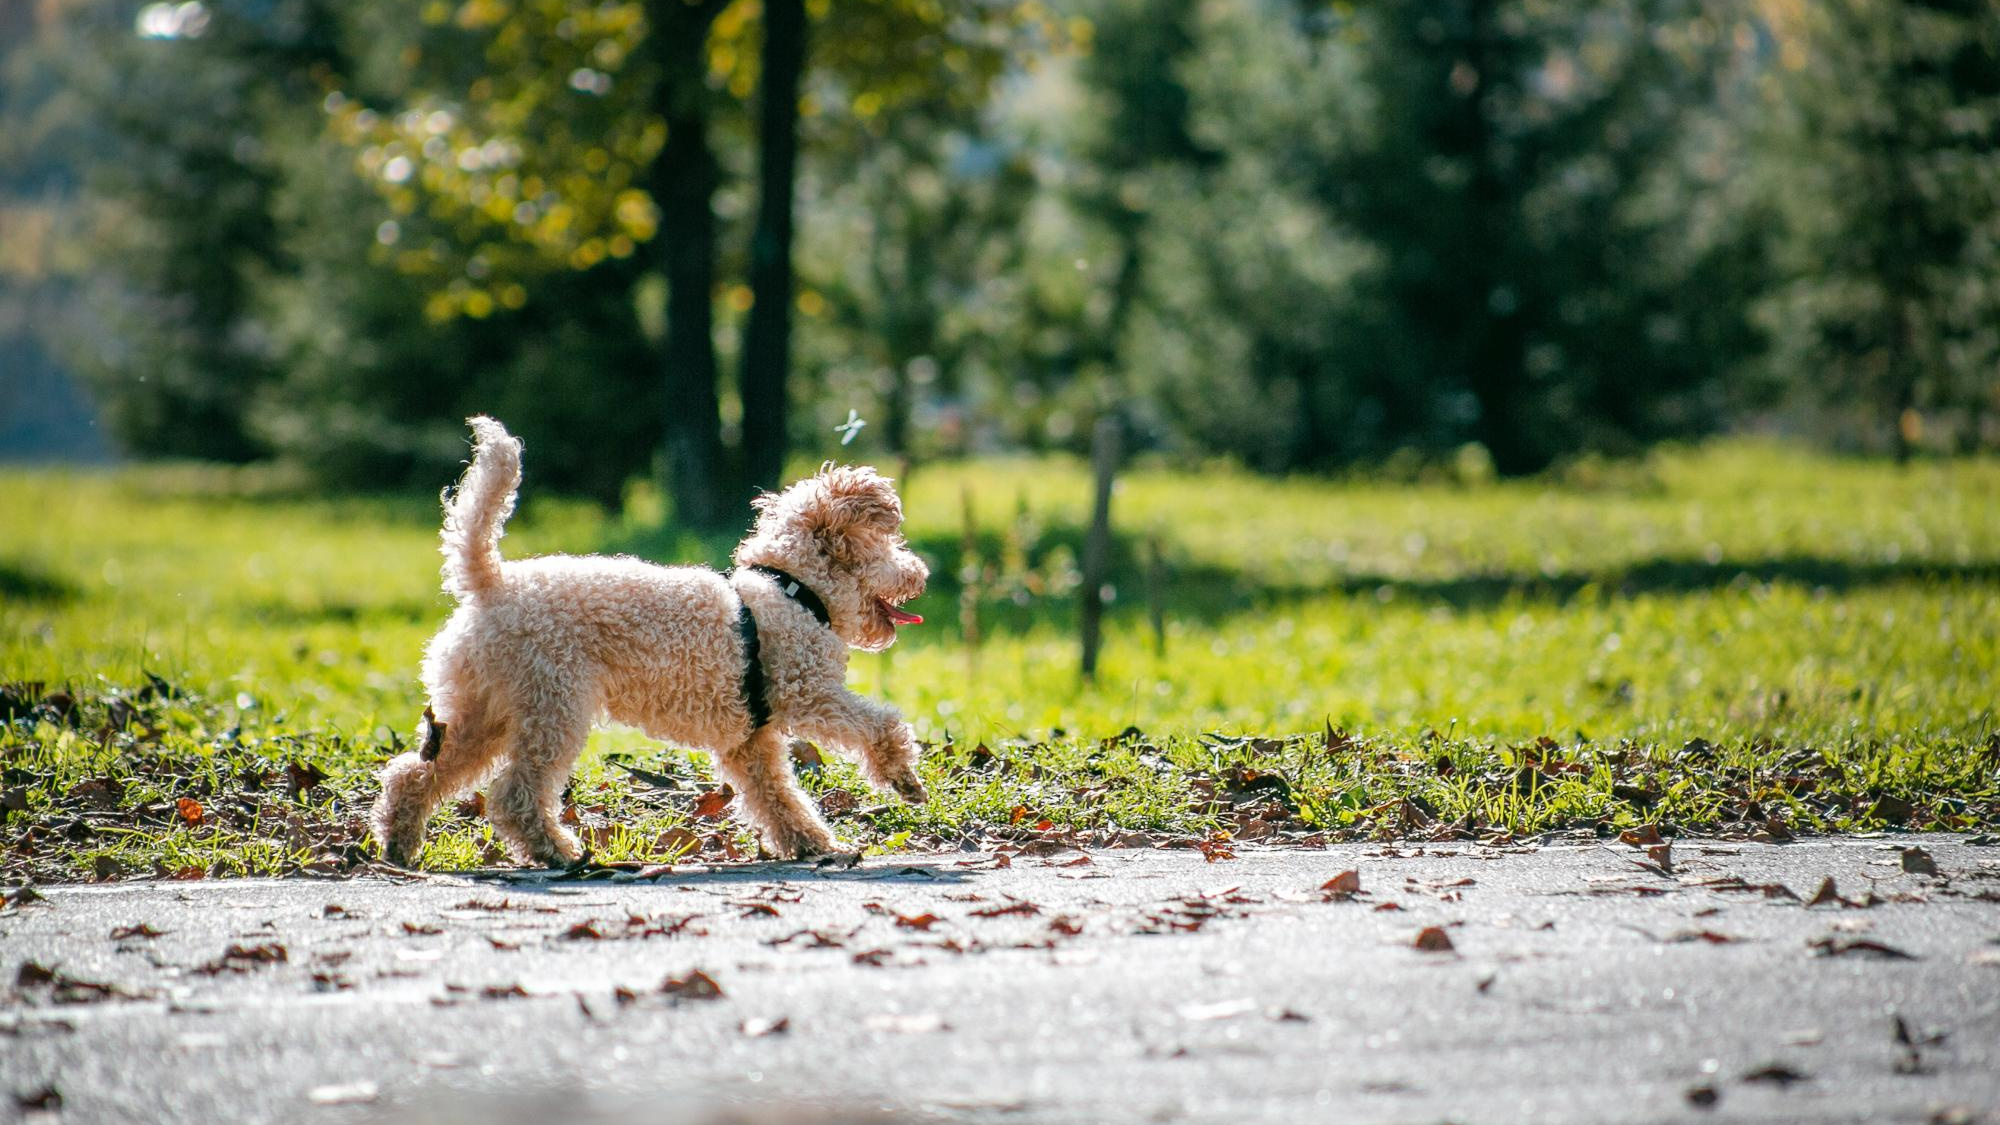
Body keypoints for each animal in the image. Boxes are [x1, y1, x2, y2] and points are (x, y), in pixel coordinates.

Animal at [372, 416, 932, 860]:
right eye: (888, 545)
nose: (920, 574)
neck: (793, 589)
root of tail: (491, 584)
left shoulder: (749, 742)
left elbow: (776, 797)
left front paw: (811, 843)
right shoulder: (807, 694)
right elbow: (879, 724)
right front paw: (904, 779)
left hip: (481, 712)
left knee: (414, 773)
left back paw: (399, 843)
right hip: (554, 705)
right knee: (514, 794)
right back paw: (557, 853)